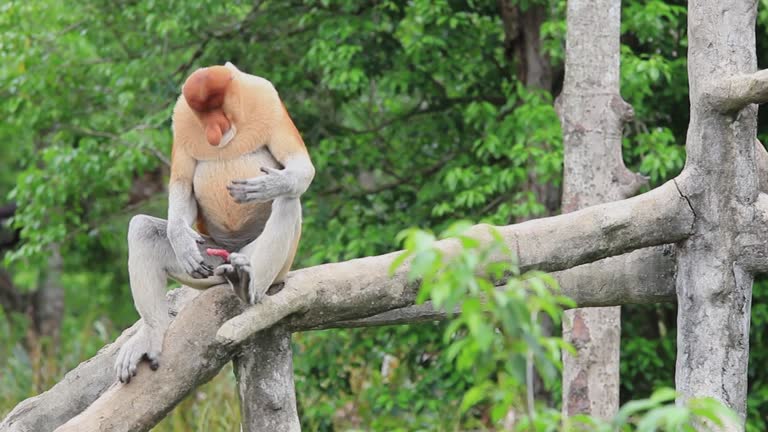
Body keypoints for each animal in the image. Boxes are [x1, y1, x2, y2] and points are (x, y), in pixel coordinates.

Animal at [114, 62, 314, 383]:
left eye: (216, 107)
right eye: (202, 113)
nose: (211, 130)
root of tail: (229, 254)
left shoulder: (268, 100)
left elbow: (302, 169)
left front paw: (269, 185)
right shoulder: (182, 120)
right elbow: (182, 184)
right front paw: (181, 241)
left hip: (270, 264)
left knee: (288, 201)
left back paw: (248, 288)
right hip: (210, 260)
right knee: (142, 228)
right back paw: (153, 331)